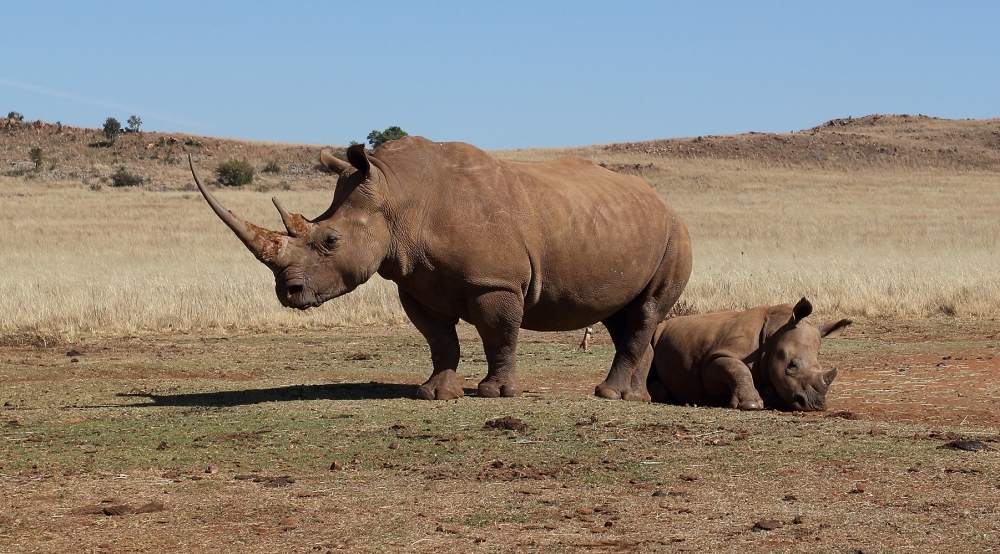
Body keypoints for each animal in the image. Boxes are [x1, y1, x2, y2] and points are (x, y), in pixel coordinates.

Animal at [189, 136, 692, 401]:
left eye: (330, 241)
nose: (288, 293)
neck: (397, 195)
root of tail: (664, 202)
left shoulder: (495, 282)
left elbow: (498, 334)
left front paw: (494, 393)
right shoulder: (413, 280)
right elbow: (438, 338)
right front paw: (434, 393)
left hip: (676, 234)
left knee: (645, 311)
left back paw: (609, 396)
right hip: (625, 226)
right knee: (625, 315)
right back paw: (637, 398)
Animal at [646, 298, 851, 411]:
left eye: (820, 366)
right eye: (791, 366)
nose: (816, 405)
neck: (776, 331)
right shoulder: (715, 358)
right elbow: (737, 368)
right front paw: (751, 405)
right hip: (657, 332)